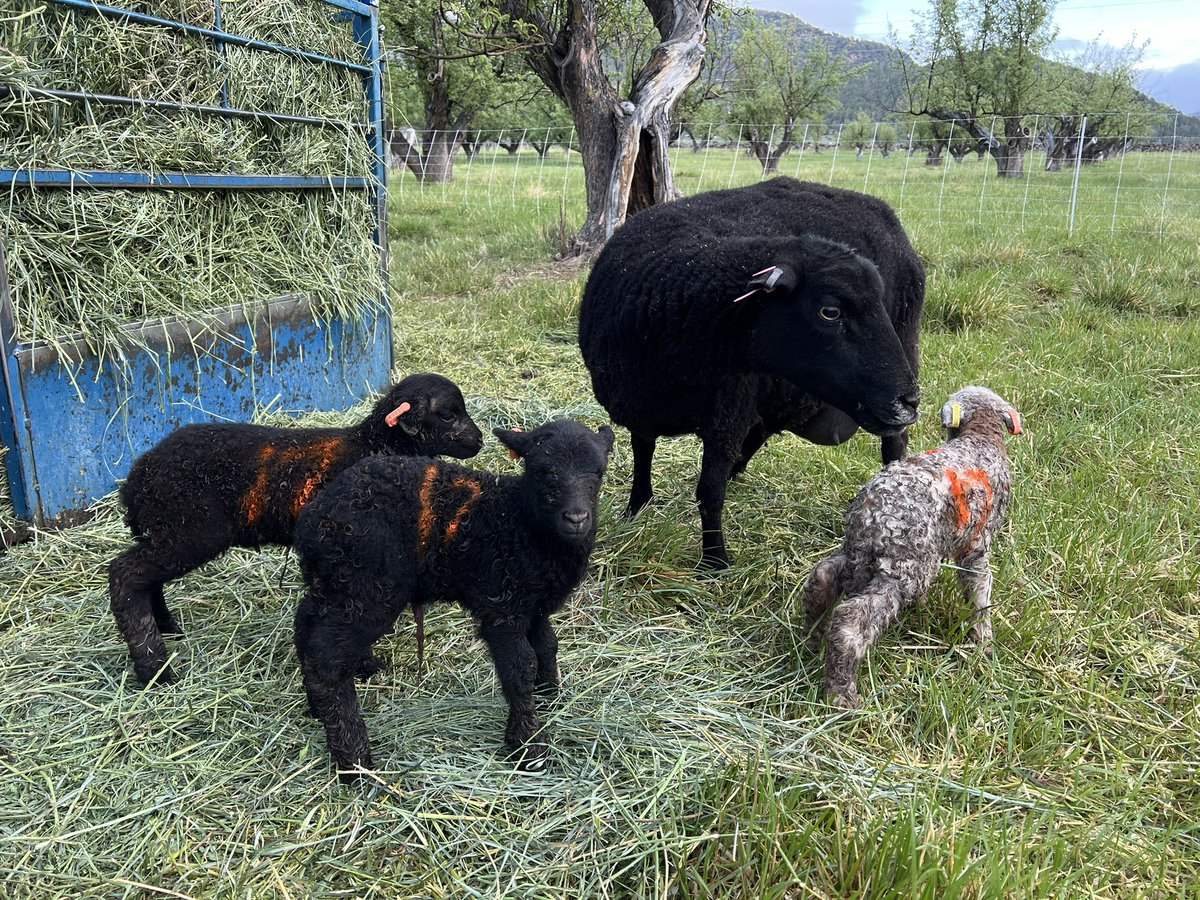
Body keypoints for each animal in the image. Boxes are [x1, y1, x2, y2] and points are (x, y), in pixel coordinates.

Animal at [109, 373, 484, 686]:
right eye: (448, 415)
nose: (479, 440)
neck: (375, 446)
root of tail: (140, 475)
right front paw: (366, 666)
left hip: (167, 532)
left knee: (145, 578)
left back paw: (168, 630)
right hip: (191, 532)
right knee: (125, 573)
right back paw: (154, 668)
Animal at [291, 419, 615, 781]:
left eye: (598, 471)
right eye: (543, 470)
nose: (576, 518)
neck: (517, 522)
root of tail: (312, 519)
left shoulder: (534, 606)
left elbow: (548, 646)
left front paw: (551, 699)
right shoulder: (501, 605)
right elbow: (521, 667)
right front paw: (528, 746)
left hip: (335, 583)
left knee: (306, 625)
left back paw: (320, 706)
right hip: (368, 587)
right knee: (327, 660)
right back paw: (354, 761)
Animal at [578, 177, 924, 569]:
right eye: (830, 311)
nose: (909, 401)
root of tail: (878, 205)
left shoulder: (727, 413)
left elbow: (710, 490)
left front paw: (715, 561)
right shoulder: (641, 405)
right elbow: (642, 453)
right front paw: (635, 509)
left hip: (906, 342)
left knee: (894, 443)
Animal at [801, 386, 1023, 709]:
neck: (980, 438)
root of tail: (871, 513)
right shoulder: (977, 544)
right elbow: (980, 593)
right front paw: (984, 645)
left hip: (862, 555)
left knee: (823, 578)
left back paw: (811, 641)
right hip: (904, 566)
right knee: (851, 623)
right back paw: (841, 696)